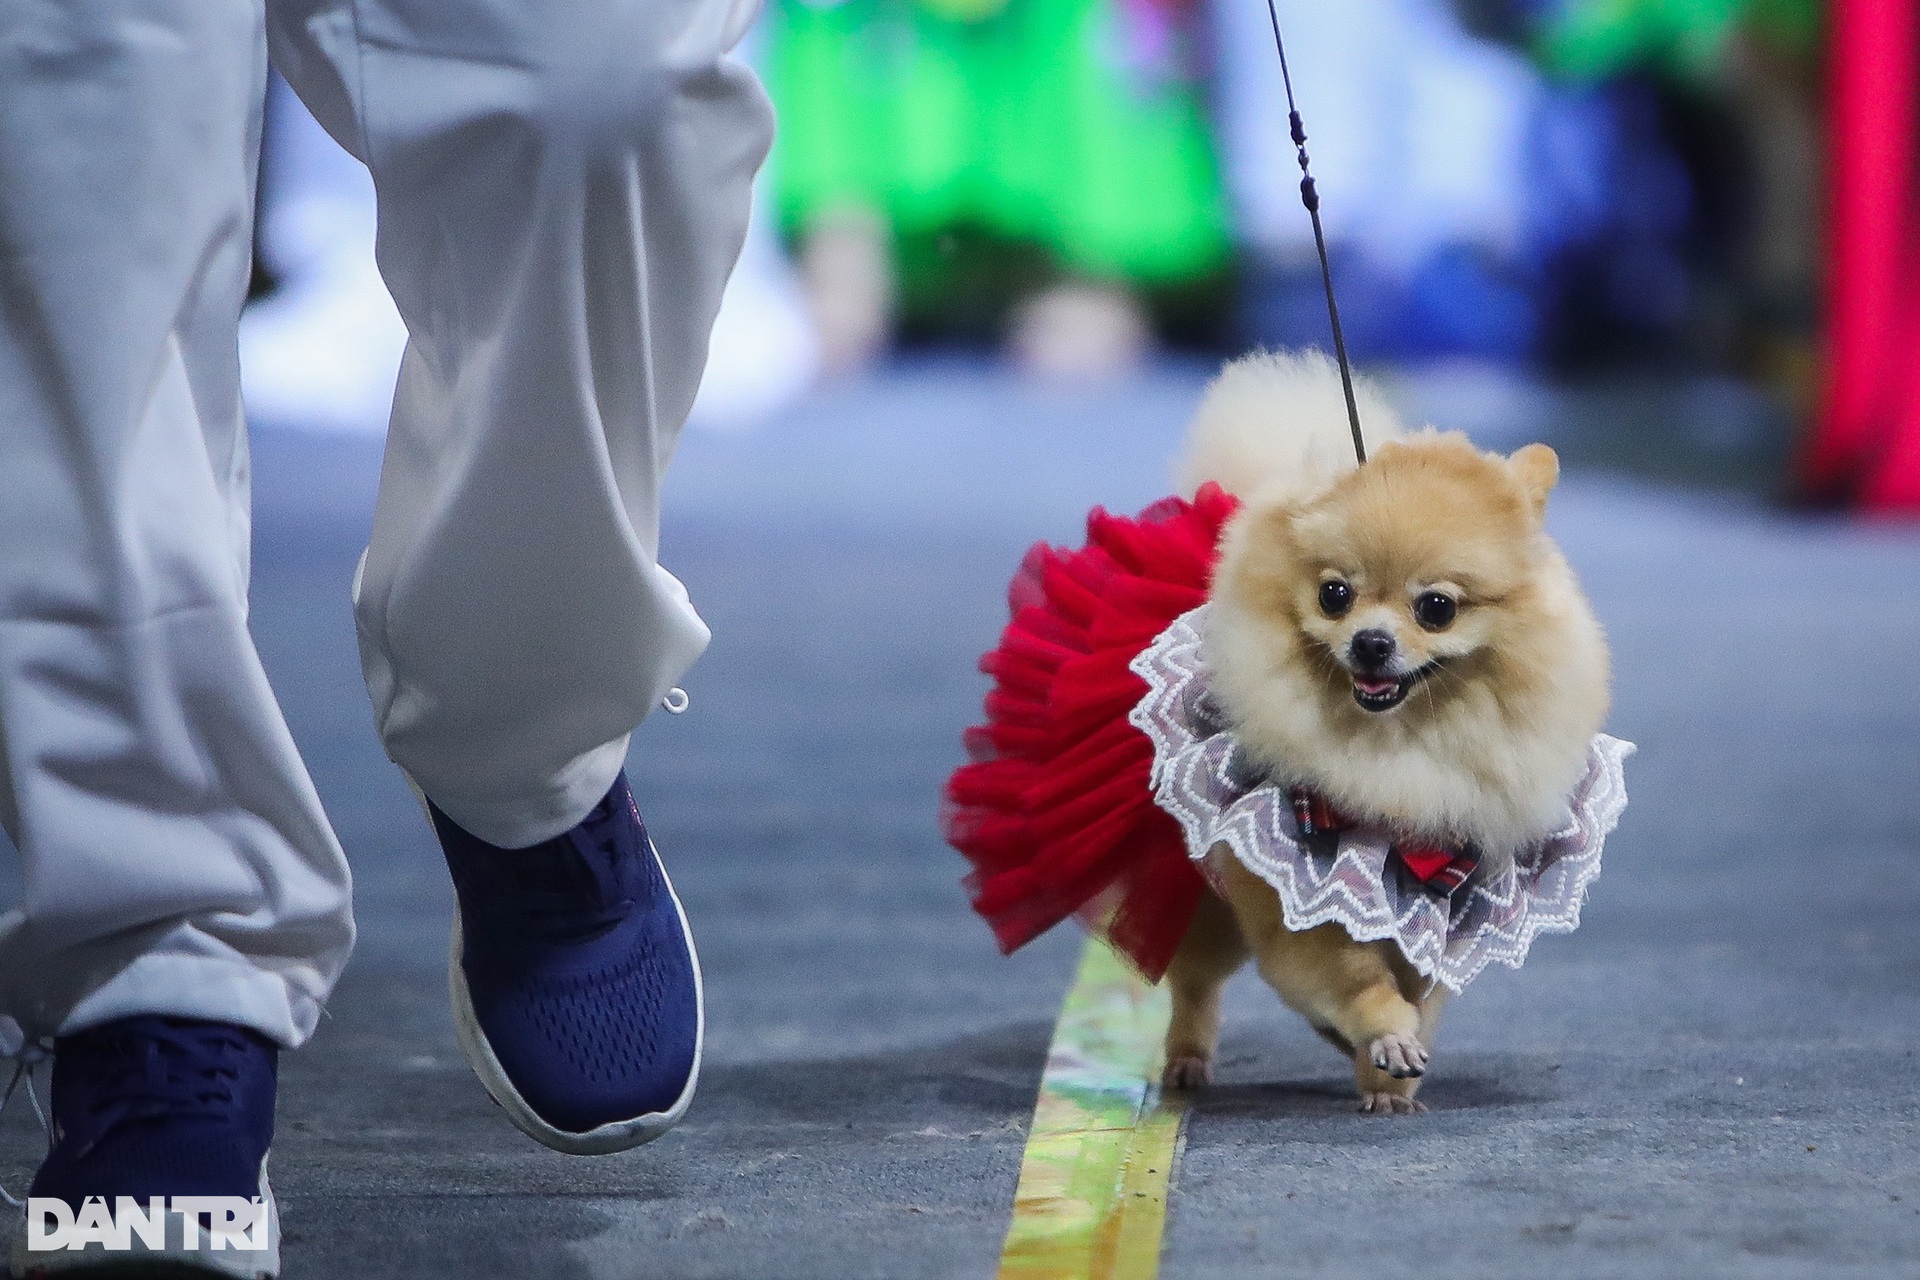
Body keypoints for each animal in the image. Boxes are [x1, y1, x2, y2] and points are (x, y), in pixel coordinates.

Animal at [1159, 351, 1612, 1113]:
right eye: (1334, 595)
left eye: (1437, 608)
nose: (1371, 643)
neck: (1402, 743)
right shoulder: (1299, 907)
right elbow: (1356, 981)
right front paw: (1386, 1035)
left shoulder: (1434, 911)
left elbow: (1418, 997)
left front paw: (1391, 1078)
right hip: (1203, 904)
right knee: (1195, 982)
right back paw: (1185, 1063)